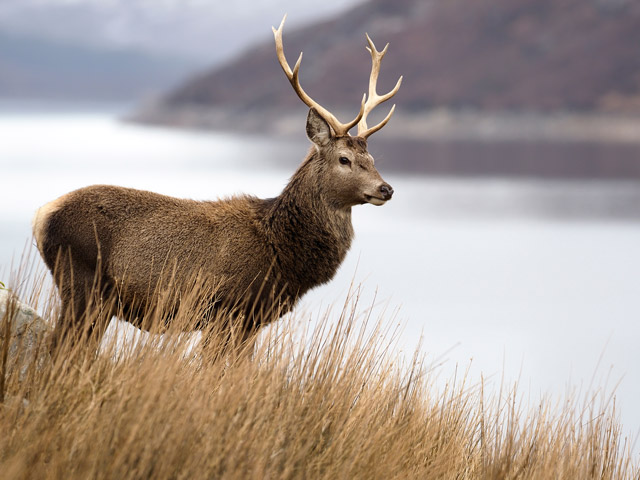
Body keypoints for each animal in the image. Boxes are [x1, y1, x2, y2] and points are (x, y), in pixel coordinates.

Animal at [32, 15, 402, 355]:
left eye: (372, 158)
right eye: (344, 159)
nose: (386, 189)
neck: (282, 253)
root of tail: (41, 216)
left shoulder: (253, 319)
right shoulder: (226, 308)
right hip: (82, 282)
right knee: (56, 345)